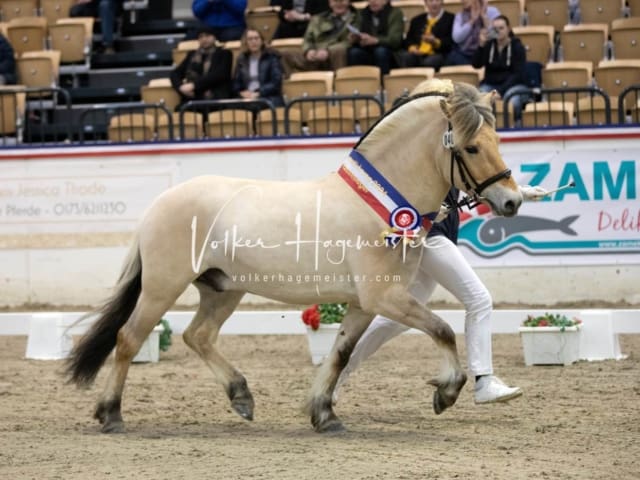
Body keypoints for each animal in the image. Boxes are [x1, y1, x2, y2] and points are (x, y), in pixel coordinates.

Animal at [67, 78, 524, 432]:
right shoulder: (384, 297)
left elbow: (340, 354)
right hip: (163, 286)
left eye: (497, 140)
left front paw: (324, 415)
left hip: (222, 288)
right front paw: (446, 392)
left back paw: (242, 397)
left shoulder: (364, 303)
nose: (511, 201)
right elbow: (443, 329)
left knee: (198, 335)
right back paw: (111, 415)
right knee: (129, 338)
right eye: (471, 148)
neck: (379, 202)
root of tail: (160, 203)